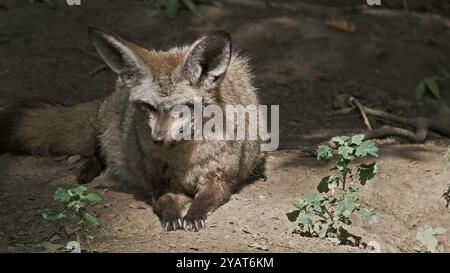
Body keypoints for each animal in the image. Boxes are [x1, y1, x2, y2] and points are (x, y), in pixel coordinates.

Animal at [0, 26, 264, 231]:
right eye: (149, 107)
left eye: (180, 108)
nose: (158, 139)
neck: (184, 161)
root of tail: (117, 86)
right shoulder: (159, 182)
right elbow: (164, 199)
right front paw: (171, 215)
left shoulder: (222, 180)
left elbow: (204, 200)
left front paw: (193, 215)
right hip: (108, 130)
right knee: (97, 148)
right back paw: (89, 169)